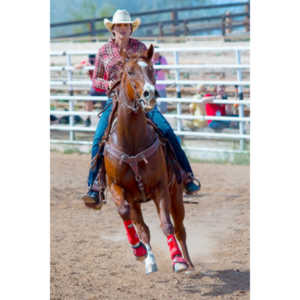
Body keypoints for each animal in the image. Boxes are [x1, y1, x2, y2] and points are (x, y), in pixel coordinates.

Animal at [102, 45, 193, 274]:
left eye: (152, 69)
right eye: (130, 72)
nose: (150, 93)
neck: (132, 142)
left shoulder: (161, 187)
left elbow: (167, 224)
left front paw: (177, 260)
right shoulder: (117, 188)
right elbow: (127, 215)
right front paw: (140, 252)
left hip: (176, 193)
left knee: (180, 228)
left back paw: (188, 261)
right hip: (136, 201)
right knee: (141, 226)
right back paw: (148, 257)